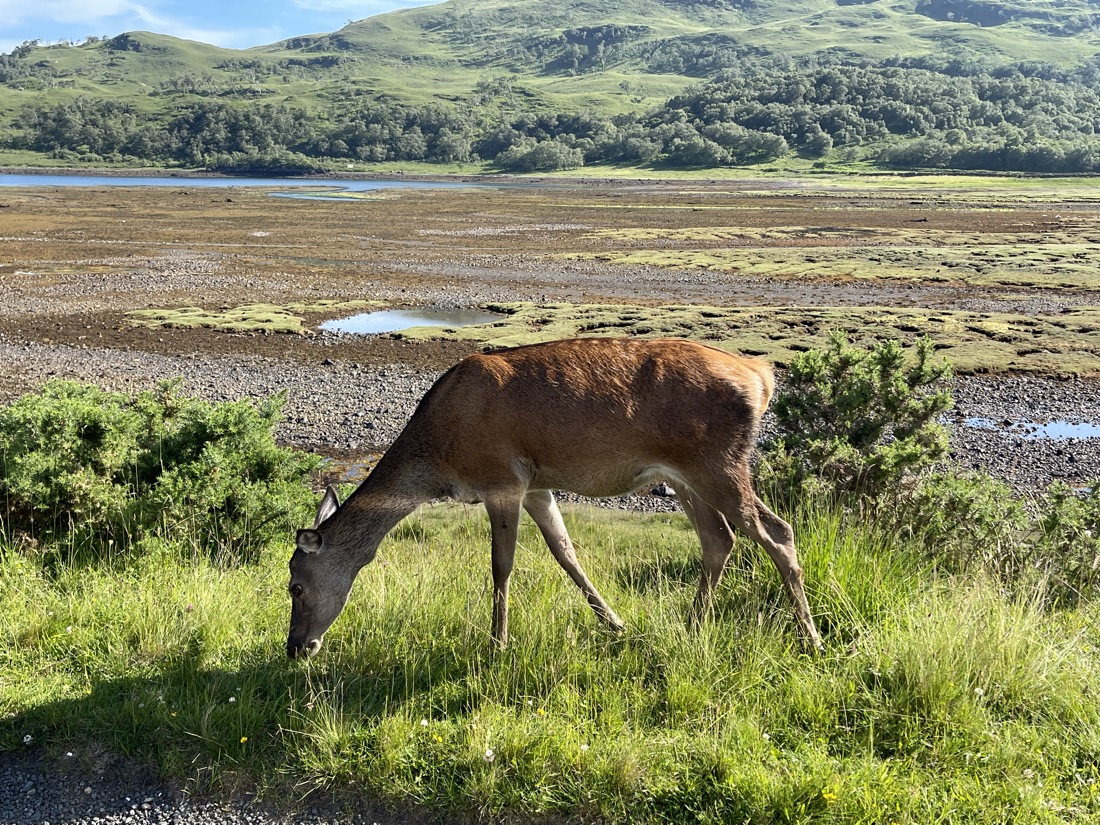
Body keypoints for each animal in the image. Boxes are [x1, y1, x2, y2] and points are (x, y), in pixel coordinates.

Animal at [288, 336, 822, 660]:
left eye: (293, 585)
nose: (296, 647)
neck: (440, 458)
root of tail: (761, 376)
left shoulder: (502, 478)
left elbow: (501, 565)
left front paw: (498, 644)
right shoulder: (537, 485)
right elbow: (565, 552)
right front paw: (615, 624)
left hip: (719, 464)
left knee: (778, 531)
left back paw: (812, 639)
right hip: (686, 475)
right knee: (719, 539)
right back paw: (691, 627)